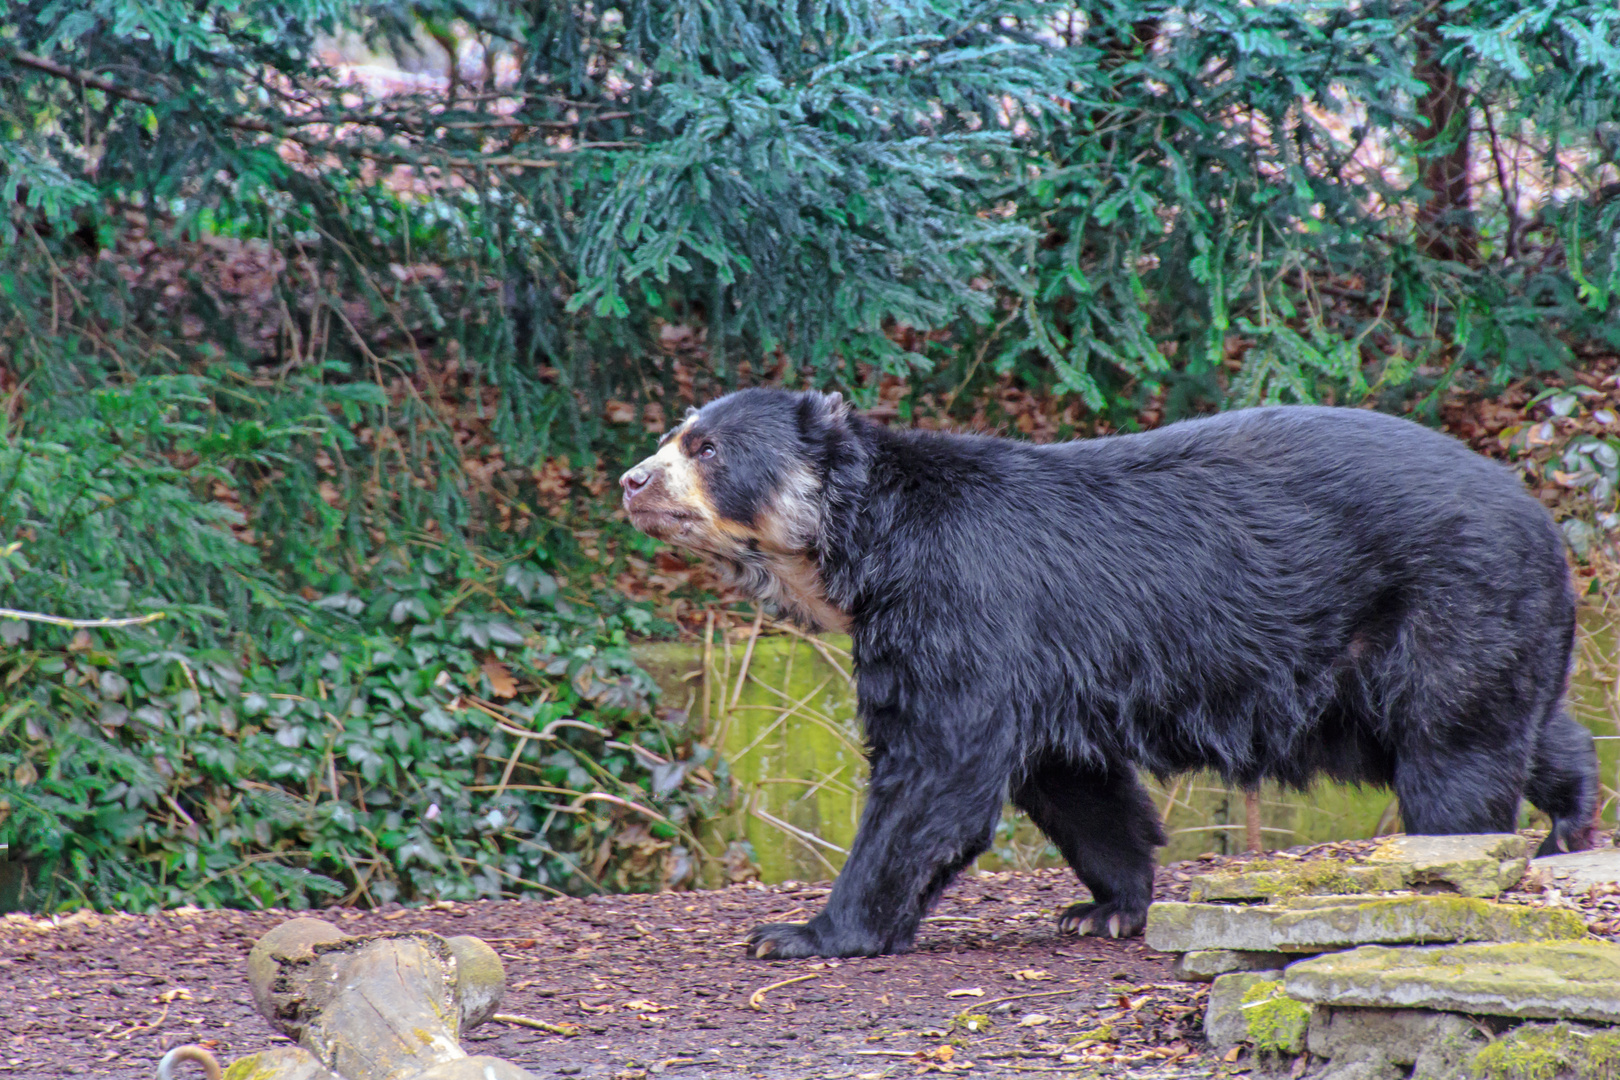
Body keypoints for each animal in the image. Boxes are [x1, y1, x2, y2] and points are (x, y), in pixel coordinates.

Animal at [618, 390, 1594, 965]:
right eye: (674, 439)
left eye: (703, 447)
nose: (630, 480)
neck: (865, 547)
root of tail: (1545, 523)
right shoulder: (1042, 660)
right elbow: (1074, 782)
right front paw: (1106, 909)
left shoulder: (963, 607)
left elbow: (936, 768)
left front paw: (801, 932)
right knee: (1525, 727)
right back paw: (1568, 821)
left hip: (1446, 603)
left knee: (1453, 754)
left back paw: (1453, 864)